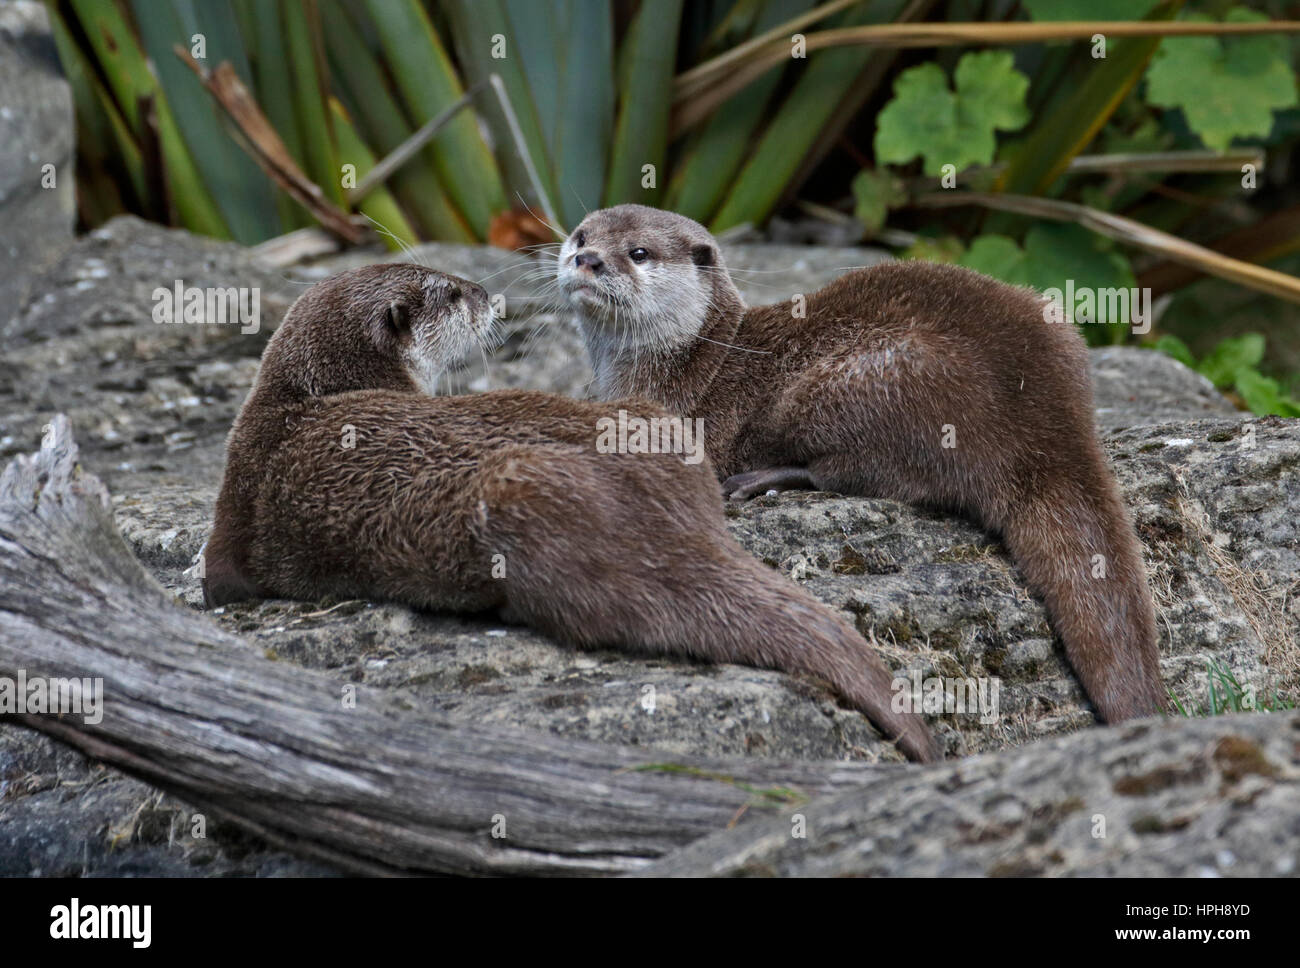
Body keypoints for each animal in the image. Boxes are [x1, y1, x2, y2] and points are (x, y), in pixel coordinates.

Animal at [203, 263, 937, 762]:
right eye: (451, 293)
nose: (486, 292)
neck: (303, 396)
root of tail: (674, 523)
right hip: (649, 424)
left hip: (518, 492)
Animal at [557, 204, 1165, 724]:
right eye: (582, 236)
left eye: (638, 252)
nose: (588, 259)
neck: (683, 366)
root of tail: (1050, 424)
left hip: (865, 381)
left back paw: (764, 479)